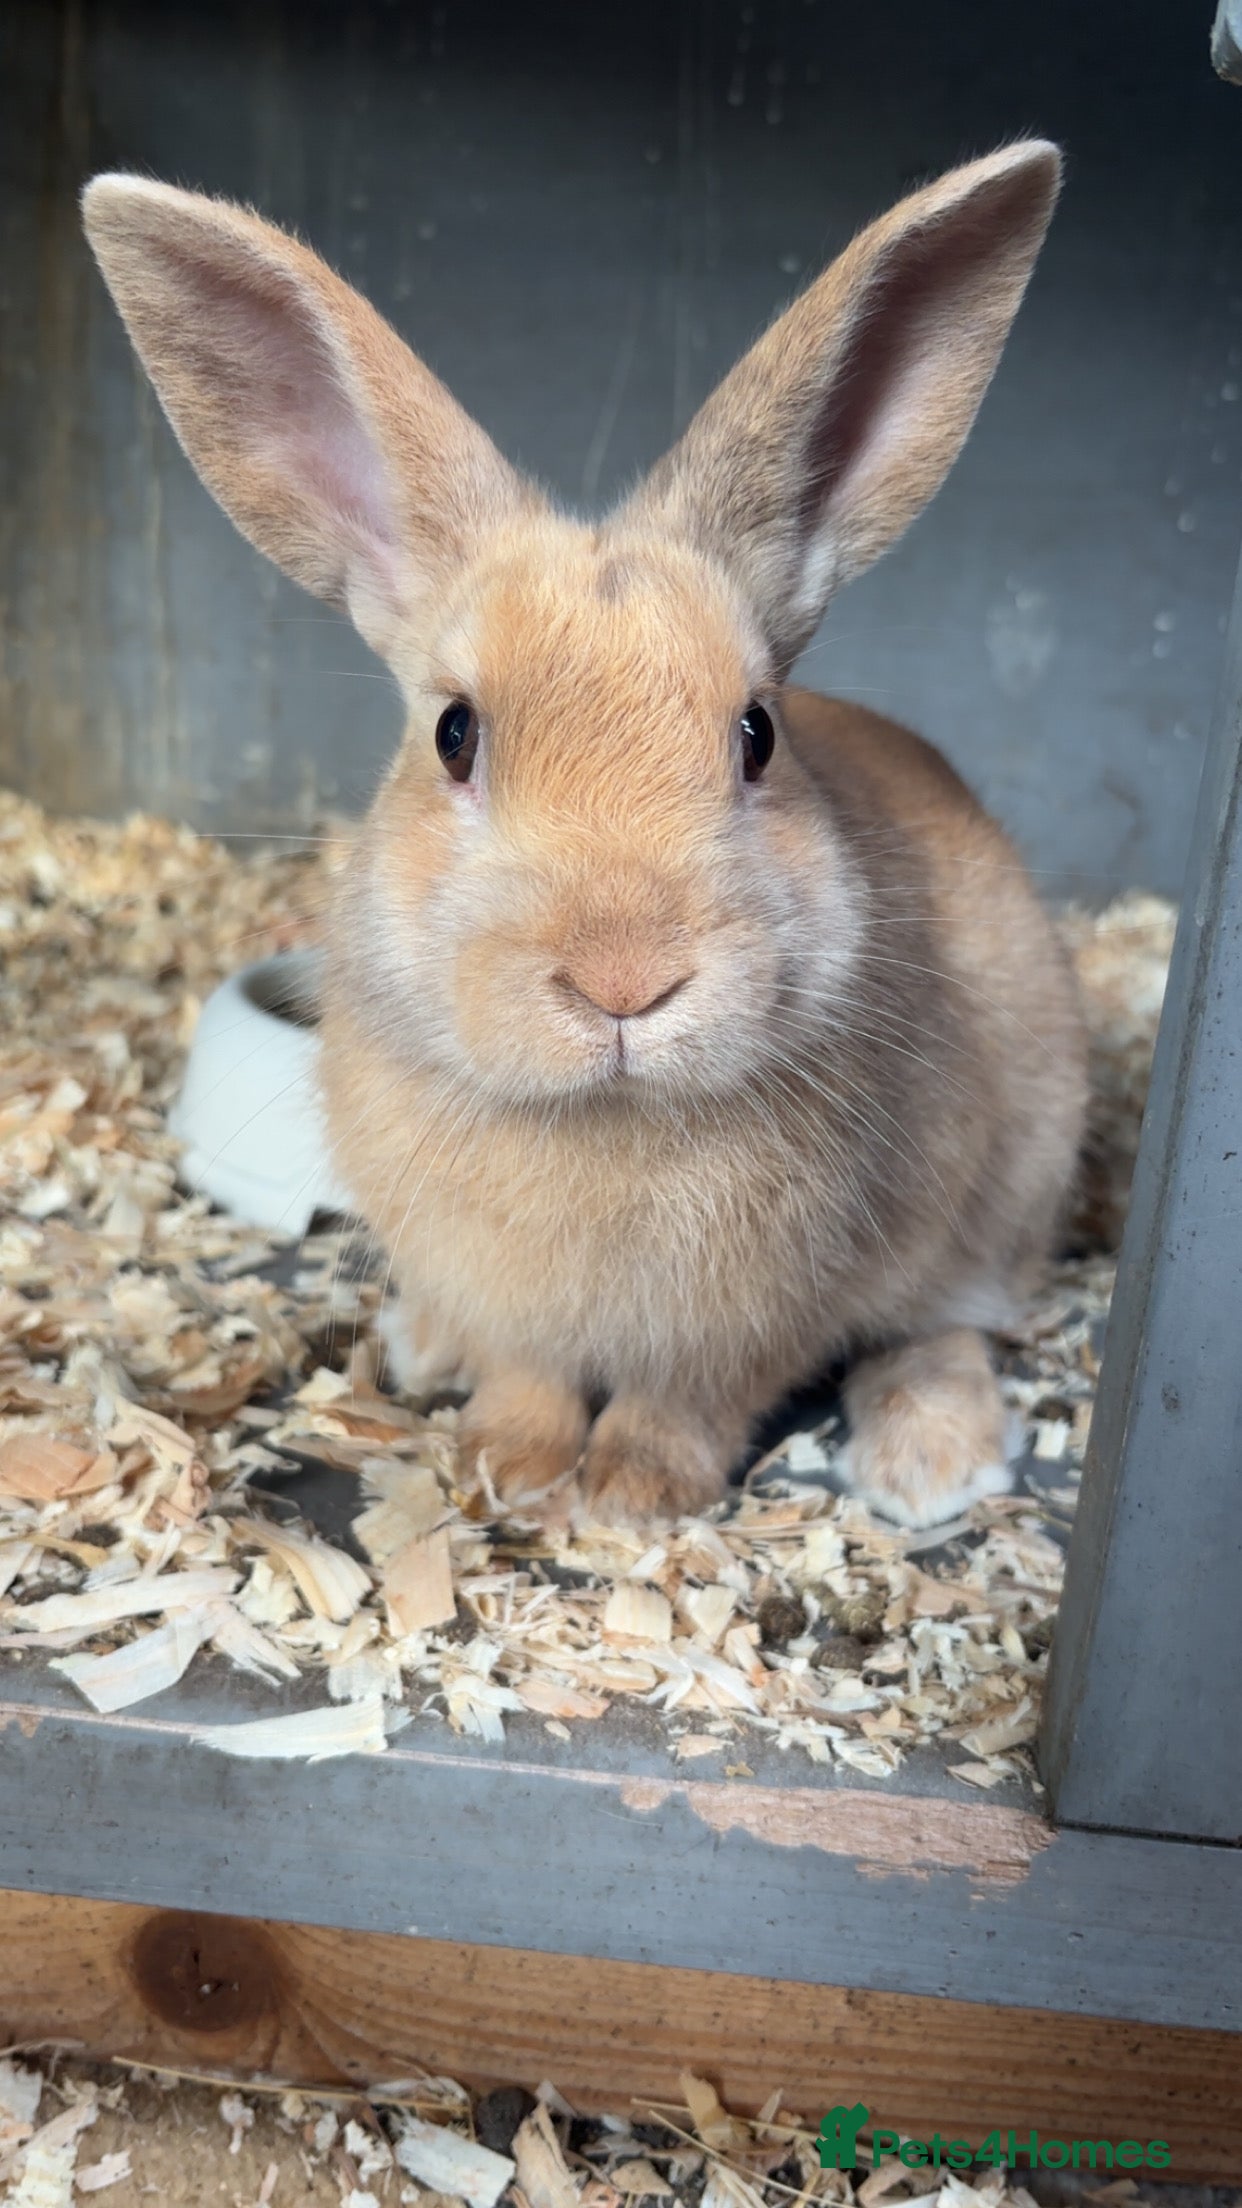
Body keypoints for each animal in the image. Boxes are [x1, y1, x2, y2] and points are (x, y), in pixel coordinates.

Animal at [83, 141, 1087, 1530]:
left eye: (758, 734)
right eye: (455, 734)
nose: (624, 982)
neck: (603, 1123)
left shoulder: (758, 1316)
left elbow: (690, 1402)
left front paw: (630, 1500)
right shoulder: (510, 1296)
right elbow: (527, 1375)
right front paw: (505, 1467)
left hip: (1012, 1181)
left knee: (946, 1324)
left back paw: (931, 1464)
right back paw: (424, 1349)